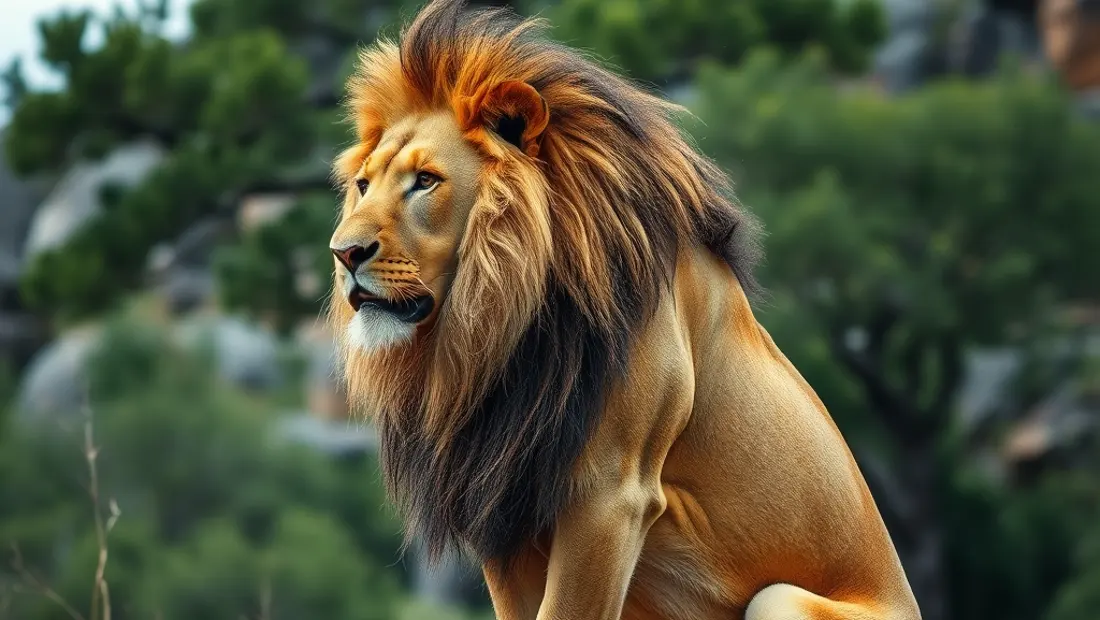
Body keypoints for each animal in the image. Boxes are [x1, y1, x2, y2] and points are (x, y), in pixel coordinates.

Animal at [327, 1, 921, 619]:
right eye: (363, 185)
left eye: (425, 181)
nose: (342, 253)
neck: (502, 324)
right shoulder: (502, 505)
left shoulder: (610, 492)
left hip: (778, 596)